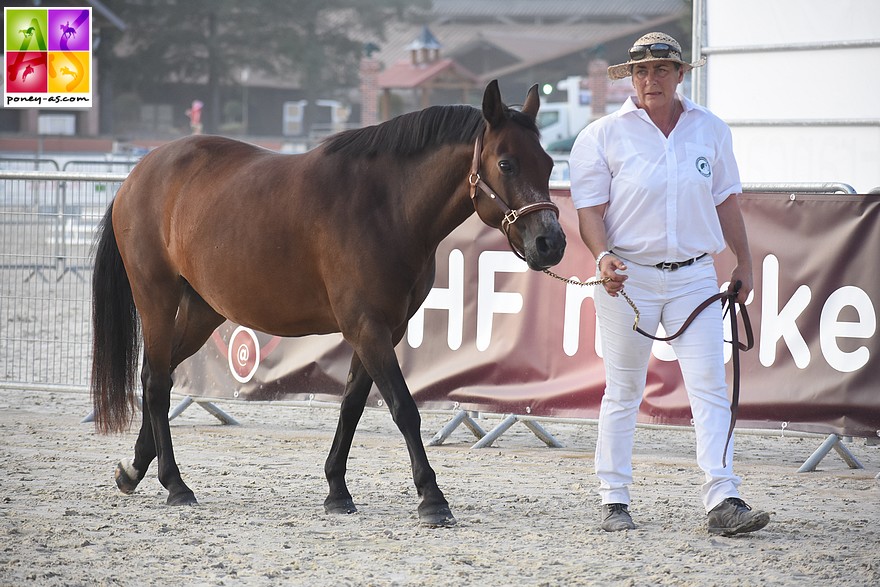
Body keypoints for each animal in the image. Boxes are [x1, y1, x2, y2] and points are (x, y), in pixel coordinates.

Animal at [91, 79, 564, 528]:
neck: (385, 205)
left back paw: (134, 469)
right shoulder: (367, 327)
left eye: (548, 163)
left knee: (159, 373)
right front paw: (432, 499)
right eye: (506, 163)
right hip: (156, 296)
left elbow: (352, 405)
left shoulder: (381, 330)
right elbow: (404, 409)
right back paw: (175, 484)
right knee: (156, 381)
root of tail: (139, 174)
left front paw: (337, 490)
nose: (552, 242)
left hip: (202, 309)